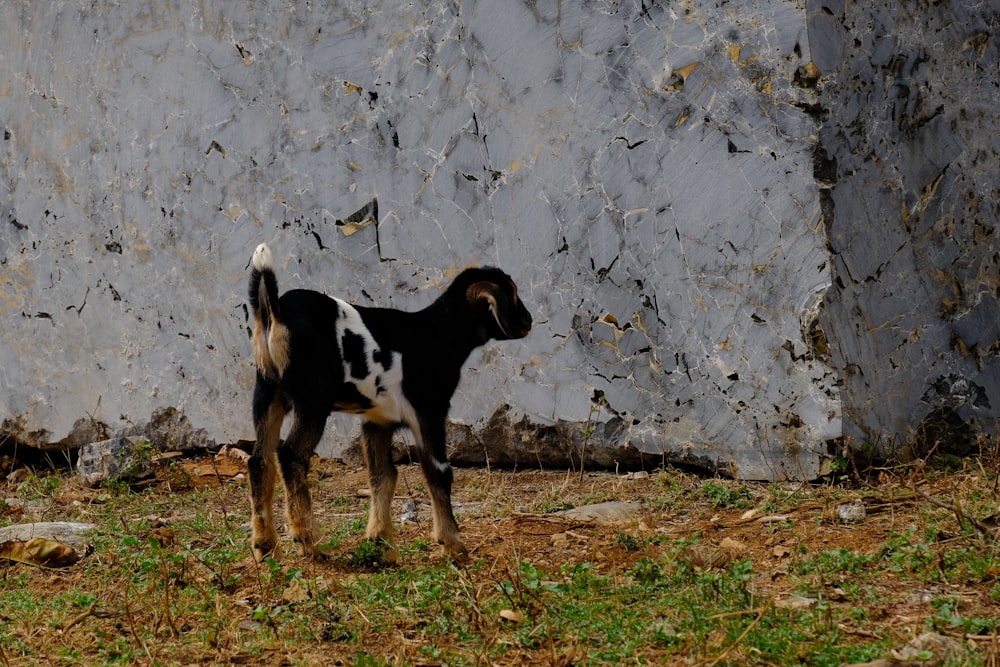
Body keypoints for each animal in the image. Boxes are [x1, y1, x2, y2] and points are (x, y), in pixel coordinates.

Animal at [248, 243, 532, 560]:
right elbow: (438, 472)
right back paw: (308, 539)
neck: (438, 333)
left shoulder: (377, 420)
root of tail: (275, 310)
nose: (529, 322)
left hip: (267, 391)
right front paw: (453, 545)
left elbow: (383, 475)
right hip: (313, 400)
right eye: (513, 294)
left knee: (259, 460)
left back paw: (265, 545)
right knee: (289, 455)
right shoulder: (429, 411)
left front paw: (380, 542)